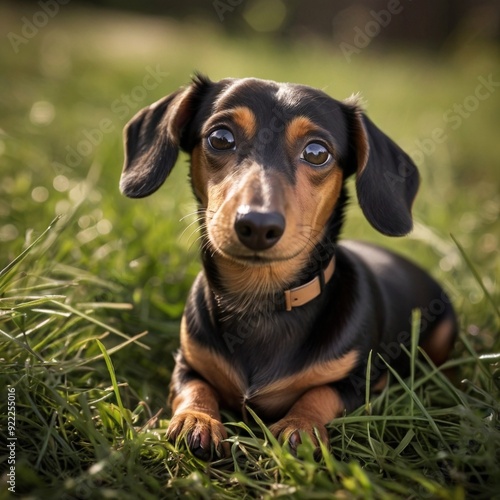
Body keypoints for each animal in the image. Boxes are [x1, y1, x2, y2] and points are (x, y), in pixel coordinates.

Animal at [119, 75, 456, 460]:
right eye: (220, 138)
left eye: (317, 152)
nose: (257, 225)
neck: (262, 301)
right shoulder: (186, 364)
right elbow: (194, 387)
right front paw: (197, 419)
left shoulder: (359, 381)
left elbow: (320, 393)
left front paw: (300, 426)